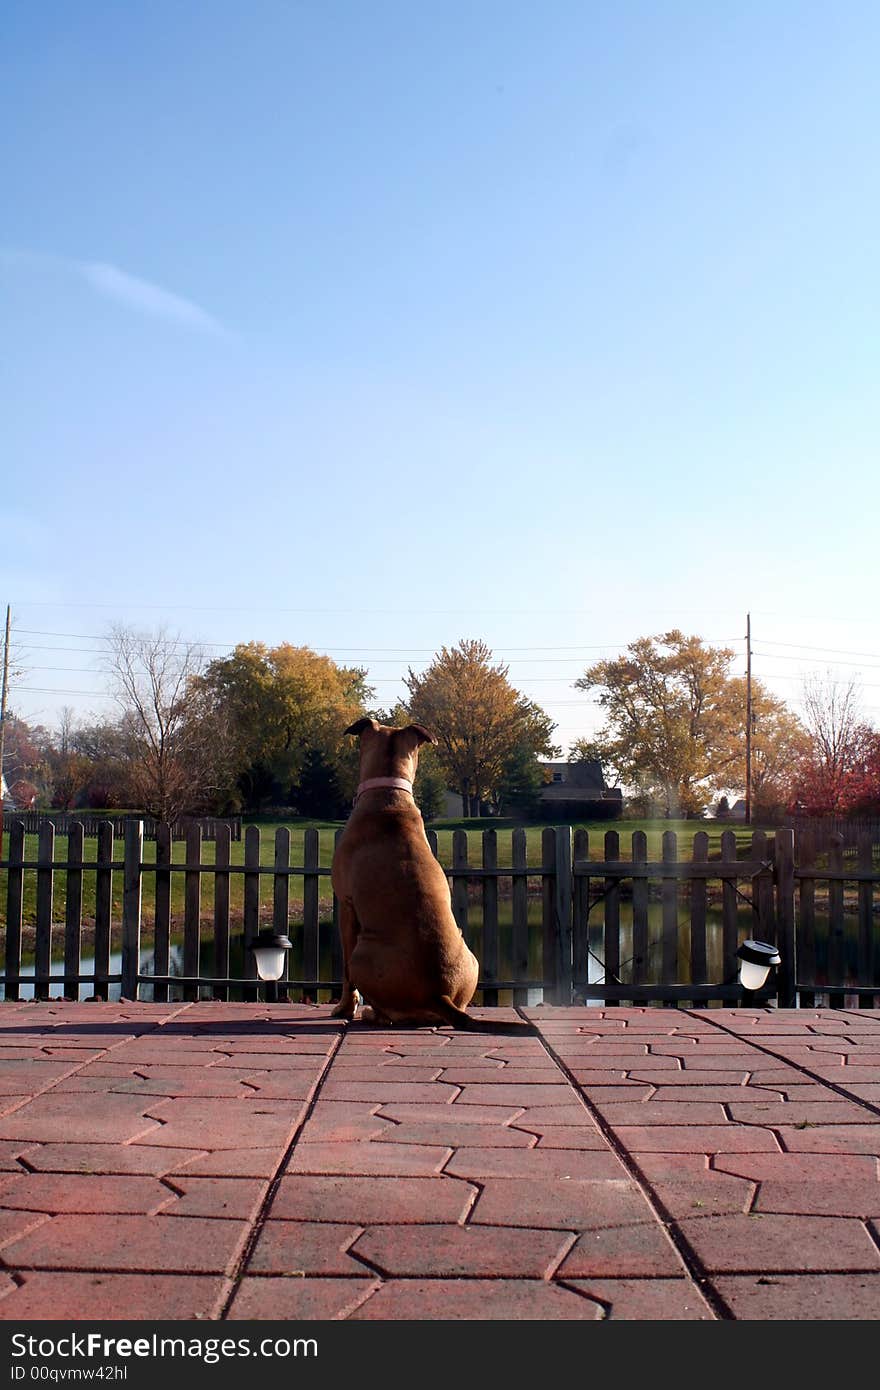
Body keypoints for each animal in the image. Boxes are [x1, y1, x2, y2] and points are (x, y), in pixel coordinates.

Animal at [330, 722, 481, 1028]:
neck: (389, 795)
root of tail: (439, 994)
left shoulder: (346, 907)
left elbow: (345, 975)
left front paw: (344, 1008)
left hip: (361, 953)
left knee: (383, 1009)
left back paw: (371, 1013)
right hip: (470, 957)